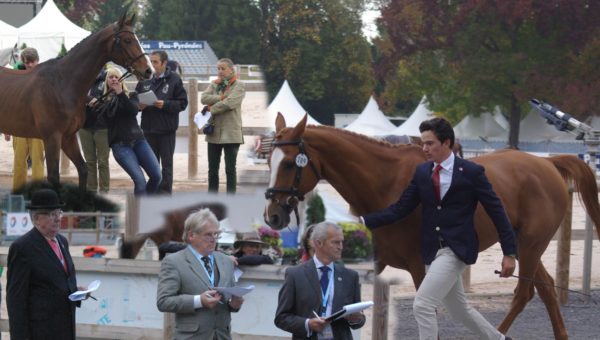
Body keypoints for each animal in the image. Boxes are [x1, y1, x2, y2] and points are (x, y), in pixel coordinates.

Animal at [0, 14, 152, 191]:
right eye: (127, 40)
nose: (148, 70)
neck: (62, 83)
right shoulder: (52, 137)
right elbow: (53, 177)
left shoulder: (69, 137)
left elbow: (83, 169)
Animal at [264, 113, 600, 338]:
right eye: (268, 160)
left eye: (290, 163)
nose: (273, 216)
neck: (385, 183)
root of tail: (547, 163)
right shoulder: (380, 259)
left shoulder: (419, 265)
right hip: (523, 245)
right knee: (546, 290)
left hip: (530, 246)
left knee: (524, 293)